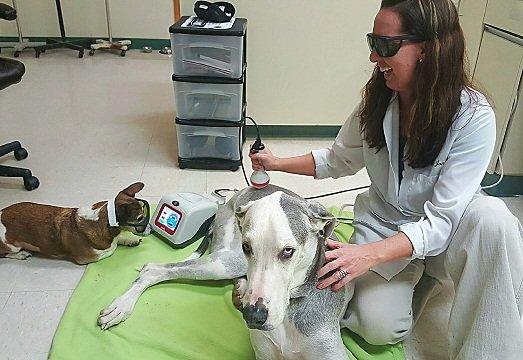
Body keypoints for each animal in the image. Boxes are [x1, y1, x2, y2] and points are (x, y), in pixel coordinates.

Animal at [0, 183, 149, 264]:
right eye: (140, 218)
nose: (150, 230)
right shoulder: (86, 257)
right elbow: (112, 248)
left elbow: (119, 238)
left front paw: (129, 239)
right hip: (11, 246)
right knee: (4, 254)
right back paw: (21, 254)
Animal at [97, 186, 354, 360]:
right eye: (248, 247)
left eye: (288, 251)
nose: (253, 316)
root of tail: (235, 196)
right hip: (227, 261)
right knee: (153, 269)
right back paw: (120, 307)